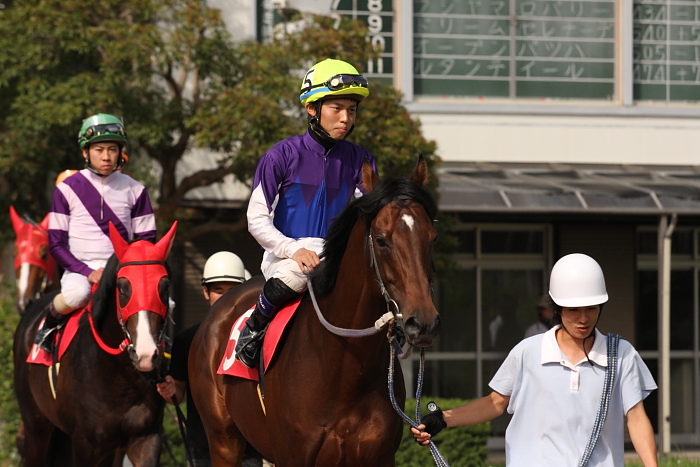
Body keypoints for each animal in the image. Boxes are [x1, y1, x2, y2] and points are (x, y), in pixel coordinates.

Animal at [14, 221, 178, 466]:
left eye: (164, 286)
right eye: (122, 288)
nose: (146, 354)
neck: (120, 376)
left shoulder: (146, 438)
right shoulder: (85, 444)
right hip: (36, 427)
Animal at [189, 159, 440, 466]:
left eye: (432, 238)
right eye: (381, 240)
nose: (423, 322)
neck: (345, 371)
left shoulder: (379, 457)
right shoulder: (293, 456)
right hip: (224, 439)